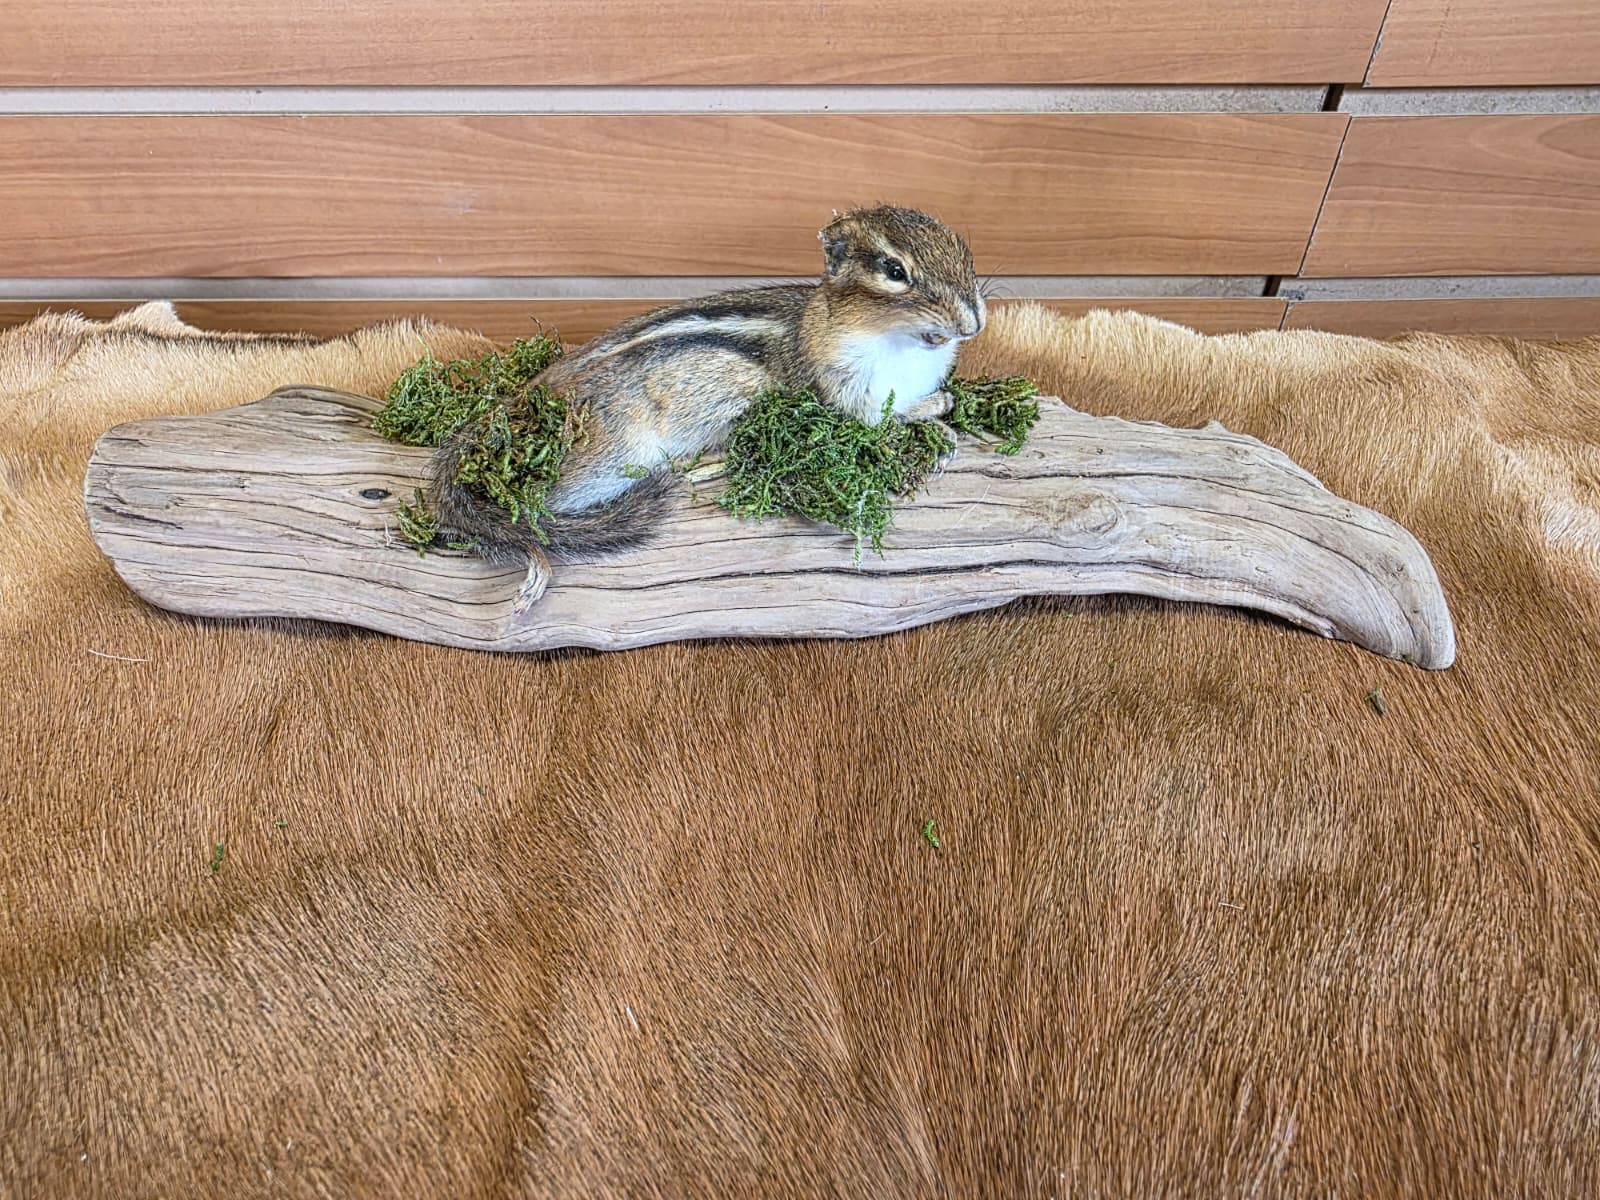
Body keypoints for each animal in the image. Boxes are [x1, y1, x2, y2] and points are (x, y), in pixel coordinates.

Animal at [430, 205, 987, 609]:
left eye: (963, 249)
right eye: (895, 270)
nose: (974, 323)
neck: (902, 345)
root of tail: (529, 397)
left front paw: (940, 404)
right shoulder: (845, 396)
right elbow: (877, 424)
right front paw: (936, 428)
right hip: (611, 459)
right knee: (528, 509)